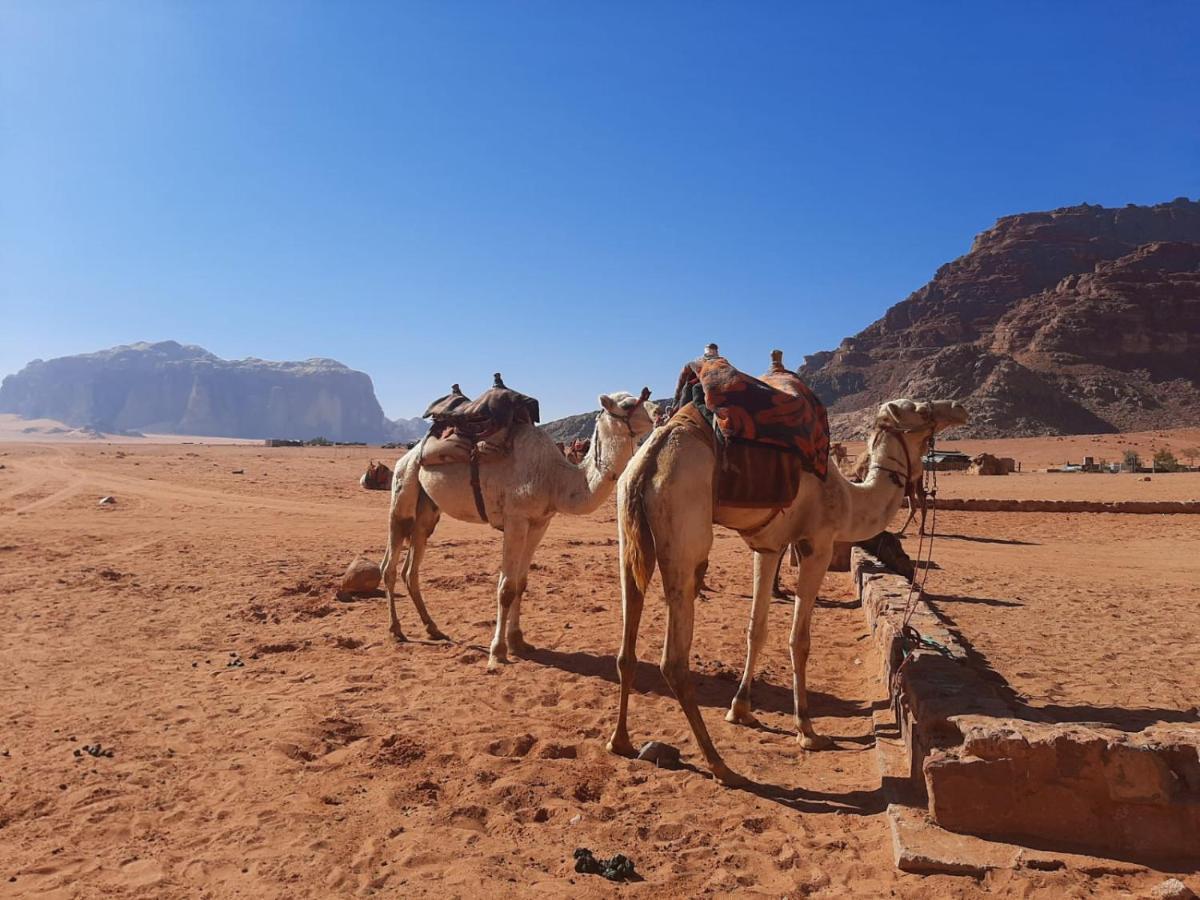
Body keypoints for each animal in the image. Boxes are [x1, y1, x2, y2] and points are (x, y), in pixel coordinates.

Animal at [379, 391, 652, 672]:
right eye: (629, 404)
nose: (658, 413)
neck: (555, 479)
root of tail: (410, 453)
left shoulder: (539, 522)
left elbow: (521, 583)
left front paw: (518, 641)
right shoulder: (516, 520)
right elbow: (506, 588)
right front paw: (497, 652)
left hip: (427, 509)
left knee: (411, 567)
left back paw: (433, 628)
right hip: (403, 488)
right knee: (389, 564)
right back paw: (396, 630)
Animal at [609, 393, 964, 782]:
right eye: (922, 408)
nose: (958, 409)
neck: (848, 499)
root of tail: (649, 463)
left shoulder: (768, 547)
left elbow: (757, 629)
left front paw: (741, 709)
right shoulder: (816, 545)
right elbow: (800, 640)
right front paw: (807, 730)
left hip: (630, 534)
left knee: (626, 649)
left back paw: (621, 742)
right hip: (684, 536)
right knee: (673, 662)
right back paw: (719, 764)